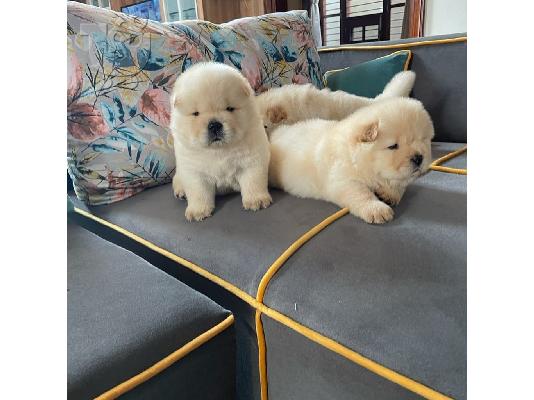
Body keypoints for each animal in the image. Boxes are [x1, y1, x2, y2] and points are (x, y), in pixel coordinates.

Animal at [169, 62, 271, 221]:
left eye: (230, 108)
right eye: (196, 113)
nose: (214, 125)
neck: (219, 150)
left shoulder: (252, 161)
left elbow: (253, 181)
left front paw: (257, 201)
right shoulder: (194, 172)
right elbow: (198, 192)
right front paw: (198, 211)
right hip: (180, 172)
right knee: (178, 180)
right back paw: (181, 191)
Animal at [268, 97, 434, 224]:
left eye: (423, 140)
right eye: (393, 146)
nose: (419, 157)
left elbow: (399, 185)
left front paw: (389, 194)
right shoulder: (342, 181)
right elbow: (361, 194)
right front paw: (377, 209)